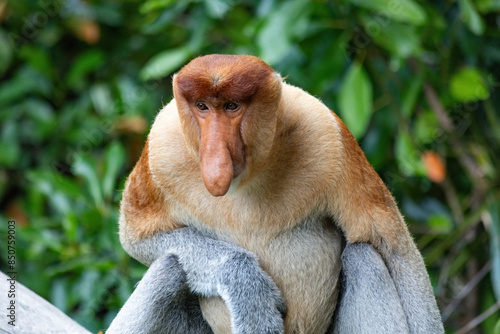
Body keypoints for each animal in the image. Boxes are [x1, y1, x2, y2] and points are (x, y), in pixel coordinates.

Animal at [107, 54, 444, 334]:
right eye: (202, 106)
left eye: (232, 106)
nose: (215, 160)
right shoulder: (162, 146)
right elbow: (138, 237)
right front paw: (249, 291)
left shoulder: (327, 132)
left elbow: (393, 247)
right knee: (170, 267)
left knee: (365, 256)